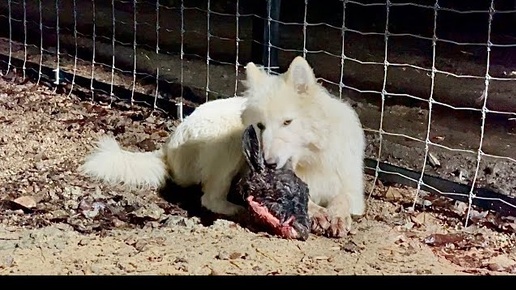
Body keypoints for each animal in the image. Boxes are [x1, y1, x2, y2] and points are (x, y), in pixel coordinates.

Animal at [78, 56, 364, 238]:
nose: (268, 164)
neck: (311, 157)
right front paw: (317, 213)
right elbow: (311, 203)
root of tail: (167, 145)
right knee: (210, 198)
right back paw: (239, 210)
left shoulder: (353, 192)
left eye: (287, 122)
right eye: (261, 126)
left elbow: (342, 199)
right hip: (230, 141)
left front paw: (336, 216)